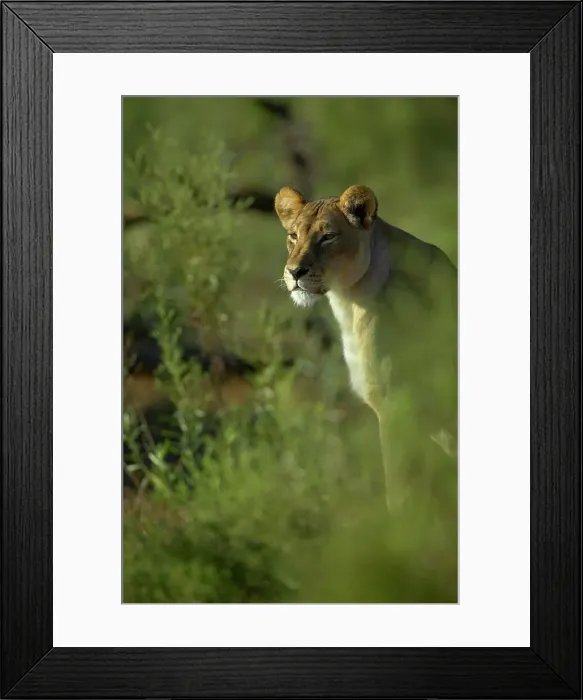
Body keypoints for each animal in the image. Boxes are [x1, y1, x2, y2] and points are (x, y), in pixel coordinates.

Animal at [275, 184, 457, 509]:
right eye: (293, 236)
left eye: (328, 236)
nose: (294, 272)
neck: (348, 301)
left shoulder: (395, 402)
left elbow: (398, 489)